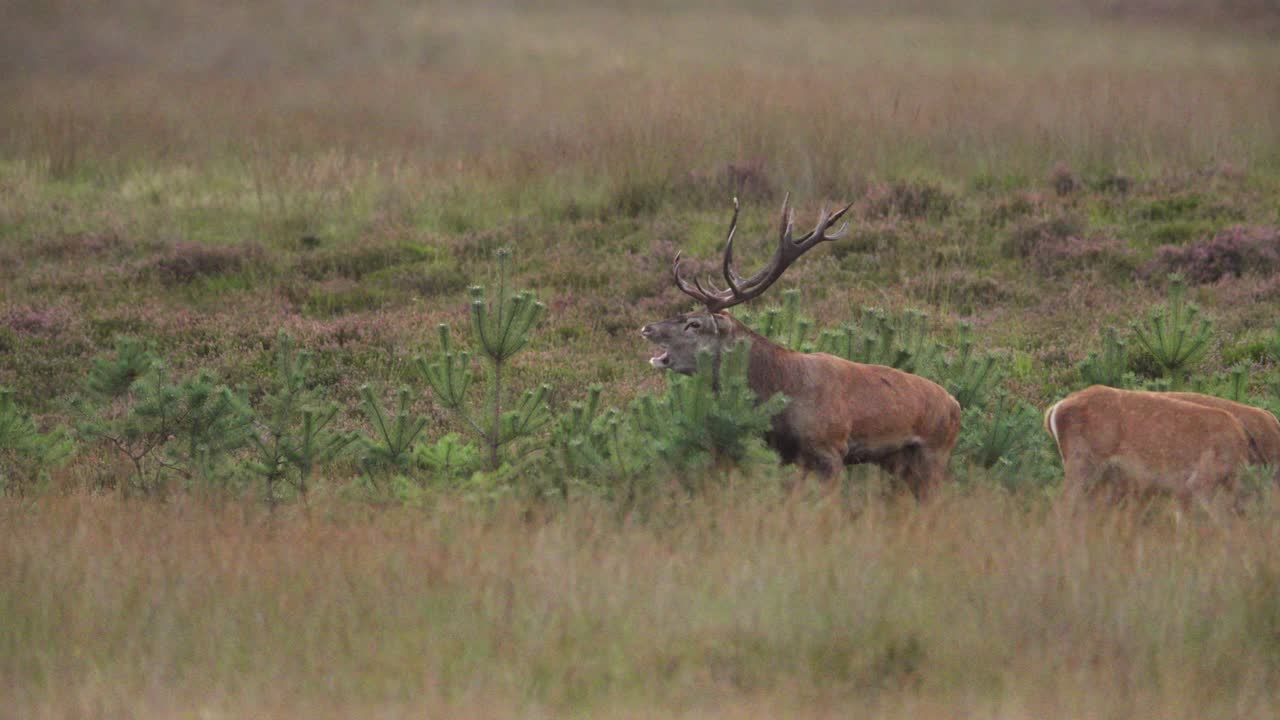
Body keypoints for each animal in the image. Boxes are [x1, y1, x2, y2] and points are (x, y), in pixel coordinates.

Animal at [640, 195, 962, 499]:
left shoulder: (831, 448)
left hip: (934, 454)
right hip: (901, 463)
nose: (647, 328)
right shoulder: (790, 456)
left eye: (694, 324)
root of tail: (955, 404)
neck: (781, 394)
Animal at [1044, 385, 1265, 511]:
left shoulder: (1184, 491)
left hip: (1101, 478)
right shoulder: (1204, 480)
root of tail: (1054, 410)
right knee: (1062, 506)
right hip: (1082, 463)